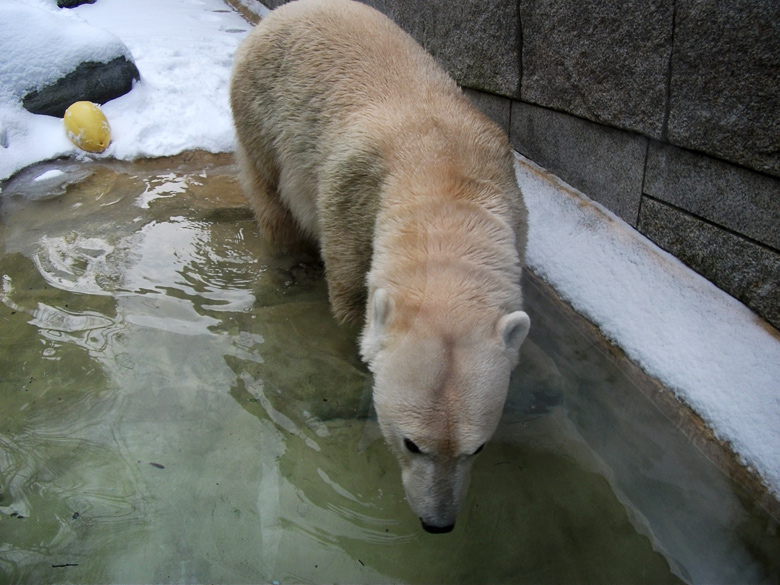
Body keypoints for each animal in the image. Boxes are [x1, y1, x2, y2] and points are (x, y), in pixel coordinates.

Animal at [227, 0, 532, 532]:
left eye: (476, 448)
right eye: (412, 443)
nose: (438, 522)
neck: (445, 178)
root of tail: (278, 15)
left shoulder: (512, 203)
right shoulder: (351, 201)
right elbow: (350, 298)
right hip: (261, 110)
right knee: (272, 197)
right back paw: (288, 268)